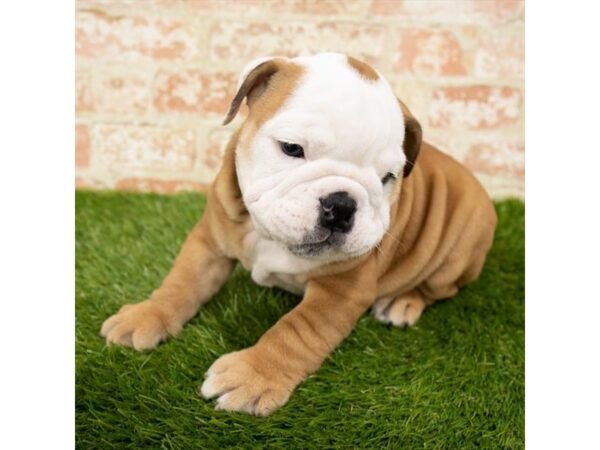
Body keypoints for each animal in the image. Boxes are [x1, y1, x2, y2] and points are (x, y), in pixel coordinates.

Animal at [102, 53, 496, 418]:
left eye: (387, 178)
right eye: (291, 148)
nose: (341, 206)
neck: (268, 235)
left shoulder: (341, 289)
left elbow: (295, 331)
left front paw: (252, 376)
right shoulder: (209, 241)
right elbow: (182, 281)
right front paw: (146, 316)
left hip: (456, 254)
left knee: (438, 288)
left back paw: (403, 302)